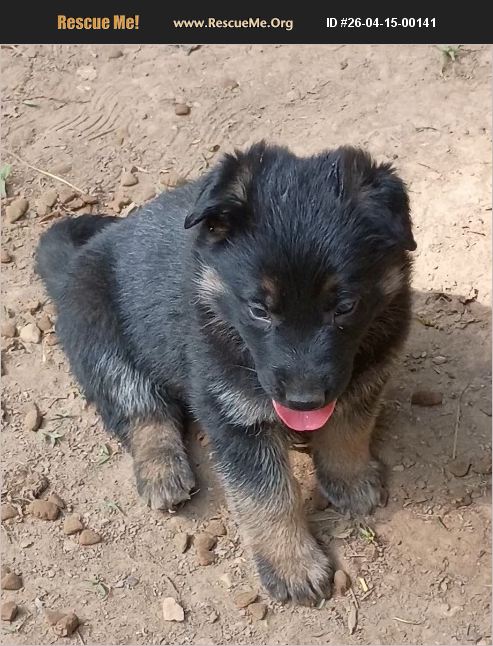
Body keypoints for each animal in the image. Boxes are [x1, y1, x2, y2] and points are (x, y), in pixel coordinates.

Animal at [35, 142, 416, 604]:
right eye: (259, 310)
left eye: (345, 307)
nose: (304, 401)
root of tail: (78, 259)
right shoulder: (233, 414)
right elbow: (267, 496)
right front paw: (291, 564)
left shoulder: (365, 376)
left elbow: (348, 430)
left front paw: (350, 480)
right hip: (98, 332)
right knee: (139, 407)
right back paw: (161, 469)